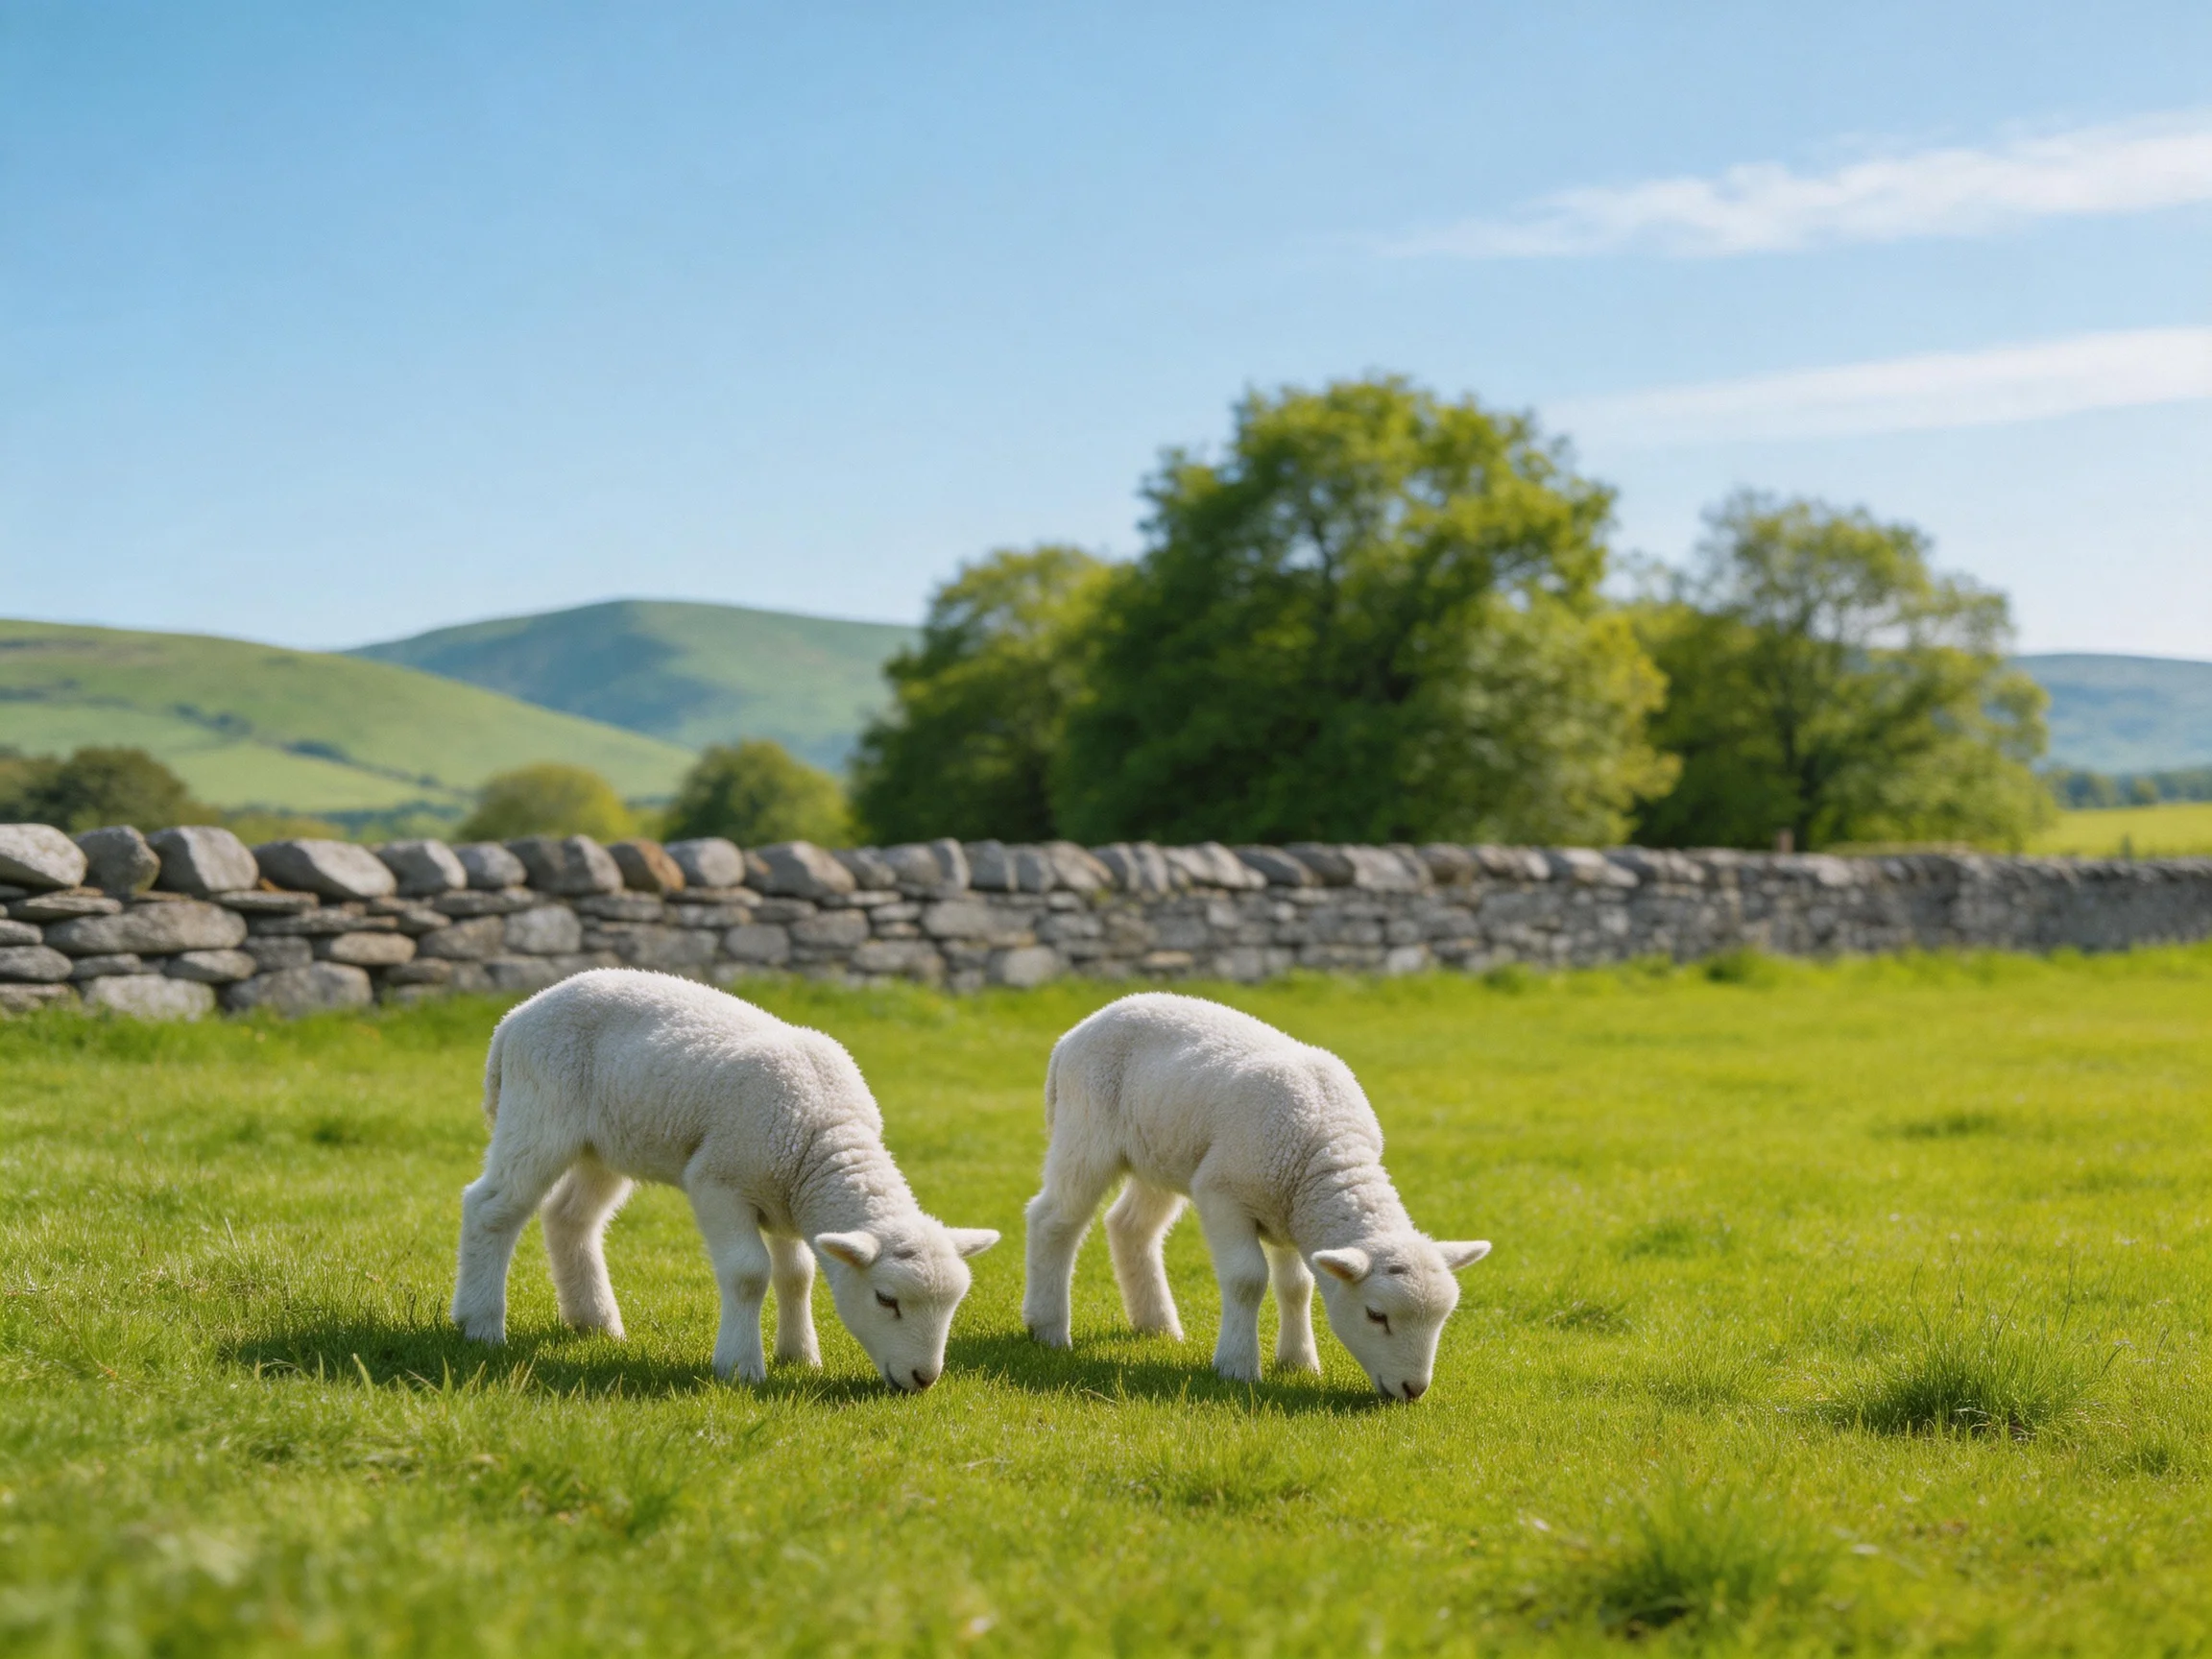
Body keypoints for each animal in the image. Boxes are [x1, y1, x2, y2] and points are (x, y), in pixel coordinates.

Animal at [450, 969, 998, 1391]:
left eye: (954, 1304)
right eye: (887, 1299)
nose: (924, 1378)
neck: (824, 1136)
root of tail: (515, 1018)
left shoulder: (782, 1198)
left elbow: (797, 1274)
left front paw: (799, 1355)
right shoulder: (719, 1182)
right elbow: (749, 1273)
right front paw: (740, 1366)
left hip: (602, 1145)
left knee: (569, 1218)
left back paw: (596, 1322)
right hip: (539, 1112)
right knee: (491, 1208)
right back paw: (480, 1324)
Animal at [1021, 992, 1488, 1400]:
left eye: (1443, 1319)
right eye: (1377, 1315)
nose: (1414, 1390)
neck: (1328, 1154)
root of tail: (1076, 1033)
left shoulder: (1287, 1212)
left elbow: (1296, 1286)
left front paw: (1299, 1362)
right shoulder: (1223, 1194)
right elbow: (1247, 1280)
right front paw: (1237, 1366)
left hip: (1162, 1153)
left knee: (1129, 1226)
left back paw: (1156, 1325)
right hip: (1087, 1130)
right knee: (1053, 1220)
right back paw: (1048, 1329)